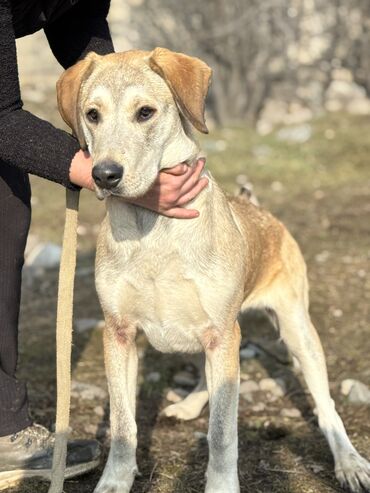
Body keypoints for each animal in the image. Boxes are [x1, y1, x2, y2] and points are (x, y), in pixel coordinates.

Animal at [55, 47, 370, 492]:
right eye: (92, 114)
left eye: (145, 112)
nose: (104, 175)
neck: (154, 226)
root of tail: (258, 209)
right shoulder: (119, 334)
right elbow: (122, 424)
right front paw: (115, 480)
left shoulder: (221, 334)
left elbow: (222, 433)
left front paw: (221, 484)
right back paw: (189, 404)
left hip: (295, 329)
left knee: (325, 405)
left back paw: (349, 462)